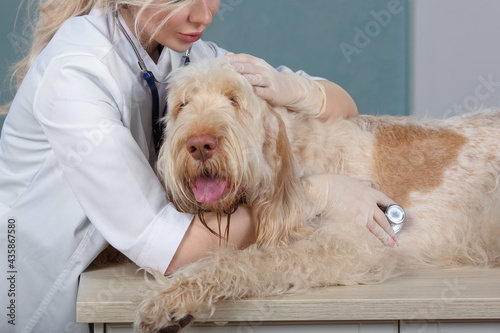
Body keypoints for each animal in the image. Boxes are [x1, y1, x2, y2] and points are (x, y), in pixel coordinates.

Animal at [134, 58, 500, 330]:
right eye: (183, 105)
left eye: (234, 99)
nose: (199, 144)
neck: (300, 153)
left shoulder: (354, 247)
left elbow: (247, 259)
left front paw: (171, 296)